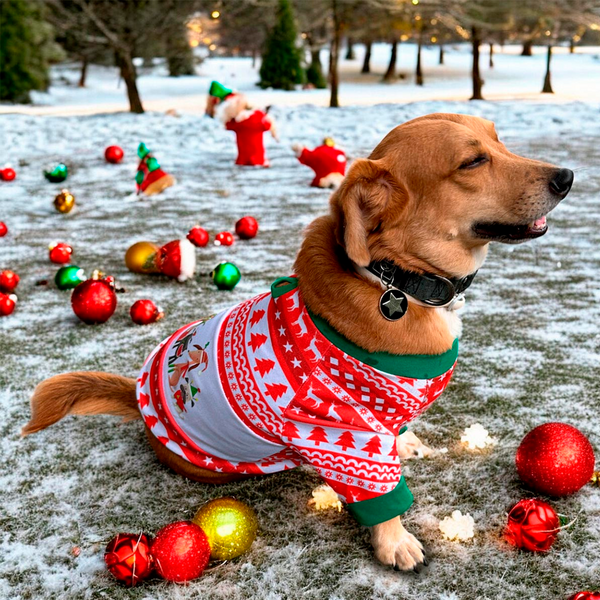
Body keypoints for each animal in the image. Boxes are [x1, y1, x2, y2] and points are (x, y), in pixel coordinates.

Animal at [21, 113, 572, 572]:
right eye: (472, 161)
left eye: (499, 140)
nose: (567, 177)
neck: (397, 277)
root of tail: (139, 400)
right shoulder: (342, 430)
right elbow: (382, 498)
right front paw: (396, 543)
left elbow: (396, 432)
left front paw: (406, 440)